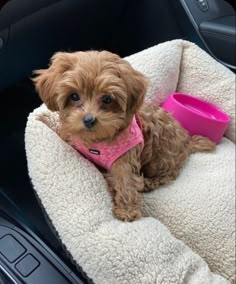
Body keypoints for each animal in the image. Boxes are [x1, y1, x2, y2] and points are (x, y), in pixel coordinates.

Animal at [33, 50, 216, 221]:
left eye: (107, 99)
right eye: (74, 96)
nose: (89, 120)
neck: (98, 141)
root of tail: (187, 141)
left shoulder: (125, 158)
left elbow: (125, 181)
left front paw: (127, 211)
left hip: (162, 158)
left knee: (168, 175)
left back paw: (149, 183)